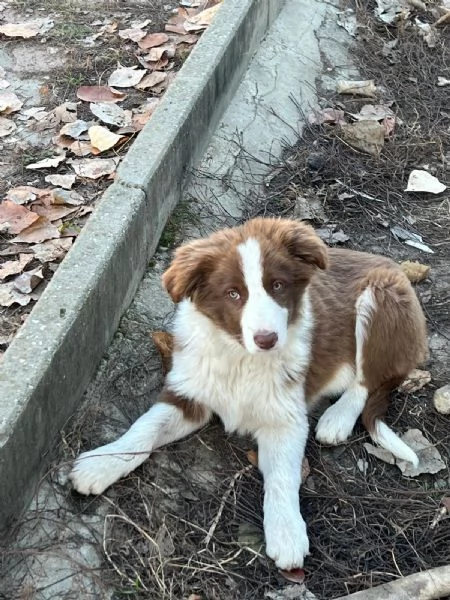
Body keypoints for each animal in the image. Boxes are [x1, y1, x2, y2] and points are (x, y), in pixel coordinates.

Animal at [68, 217, 428, 572]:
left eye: (278, 286)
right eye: (233, 294)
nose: (267, 339)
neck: (240, 356)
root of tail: (392, 265)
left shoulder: (286, 418)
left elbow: (282, 475)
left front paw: (286, 532)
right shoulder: (190, 395)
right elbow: (144, 428)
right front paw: (102, 463)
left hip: (381, 298)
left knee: (366, 382)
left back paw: (336, 419)